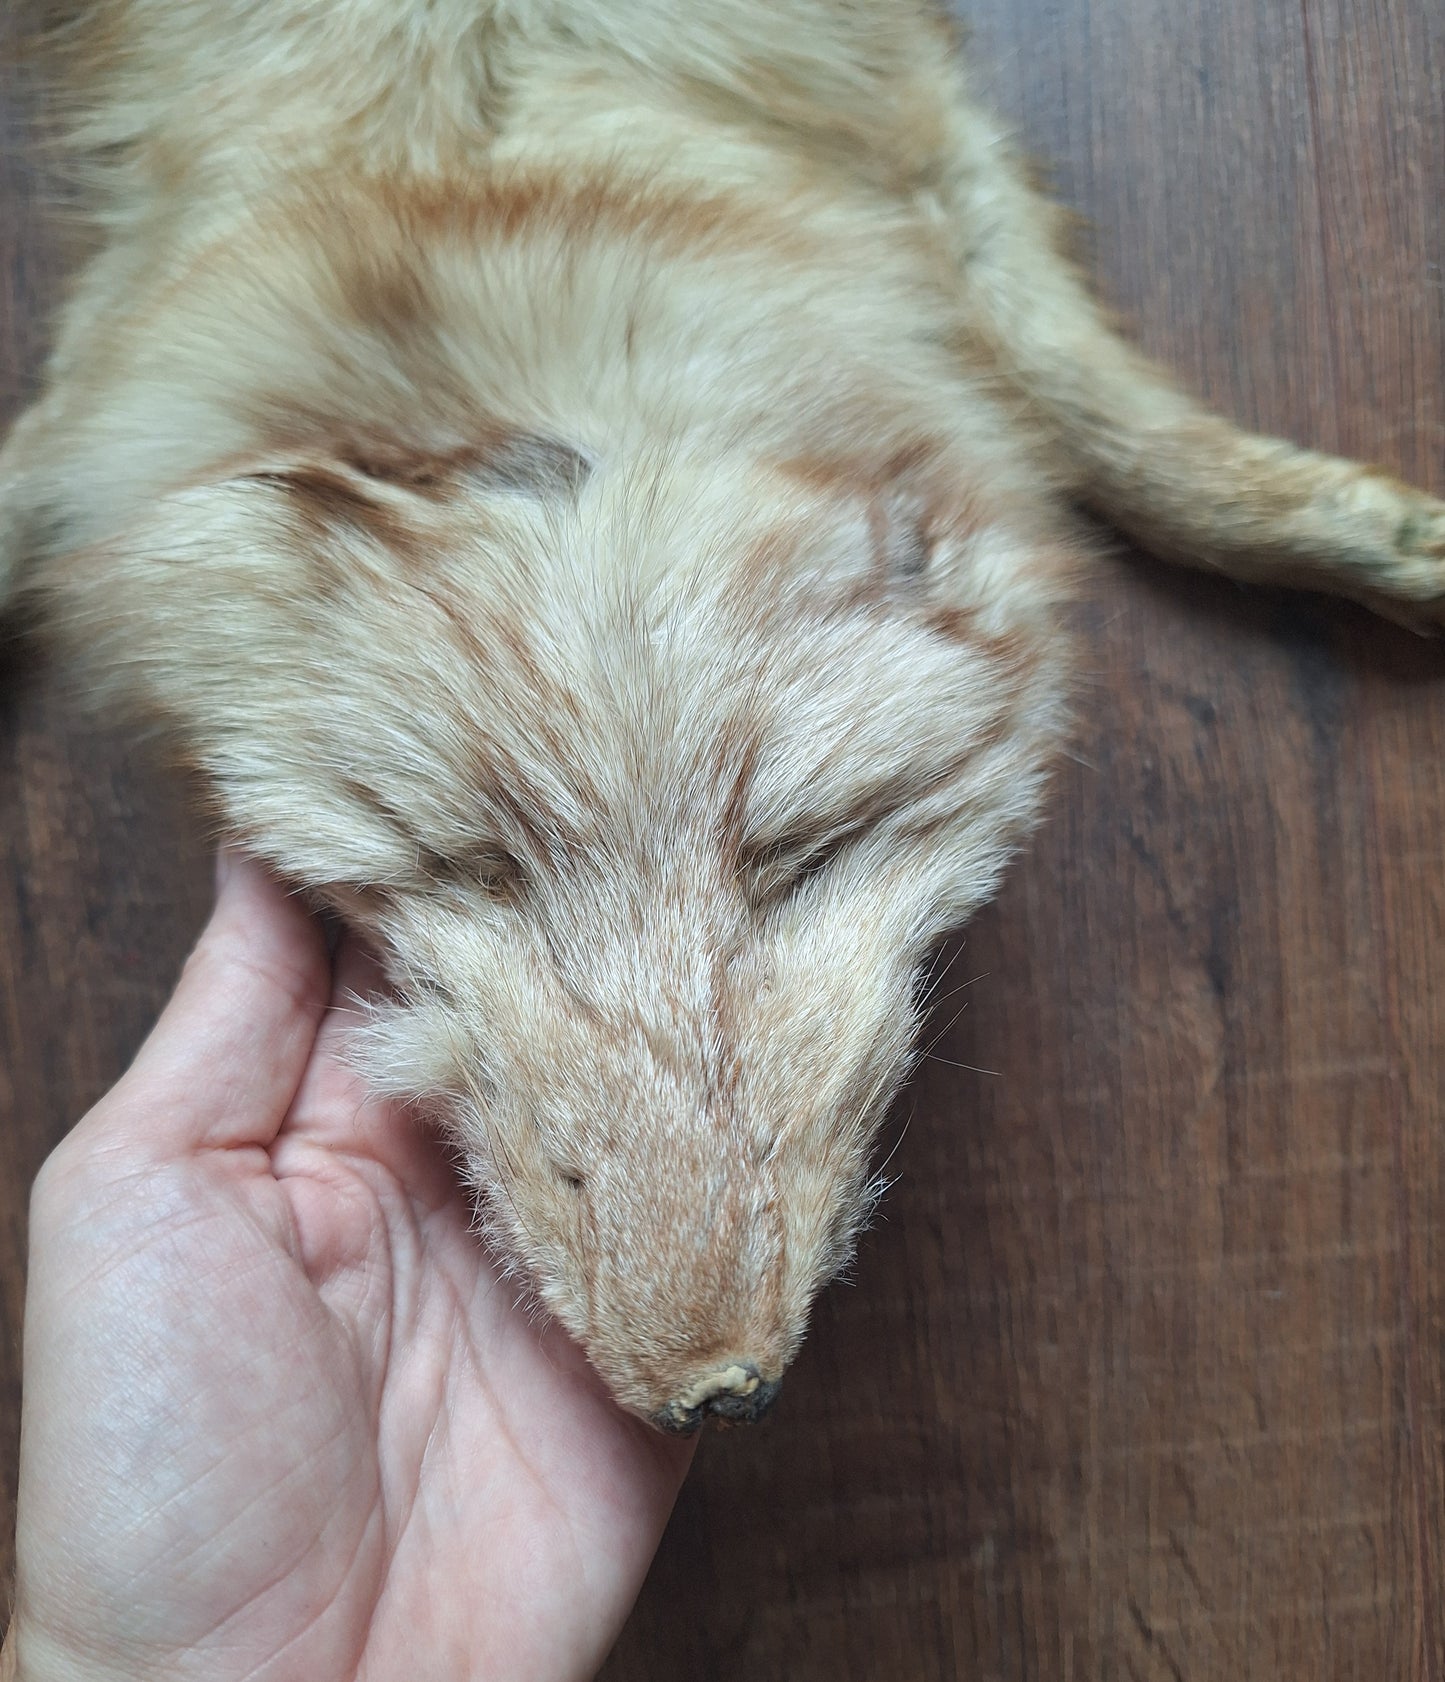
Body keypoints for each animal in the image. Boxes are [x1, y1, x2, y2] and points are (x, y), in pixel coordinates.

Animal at [2, 0, 1441, 1432]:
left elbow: (1093, 405)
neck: (500, 163)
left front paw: (1352, 532)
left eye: (798, 855)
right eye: (476, 864)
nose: (710, 1387)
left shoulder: (913, 133)